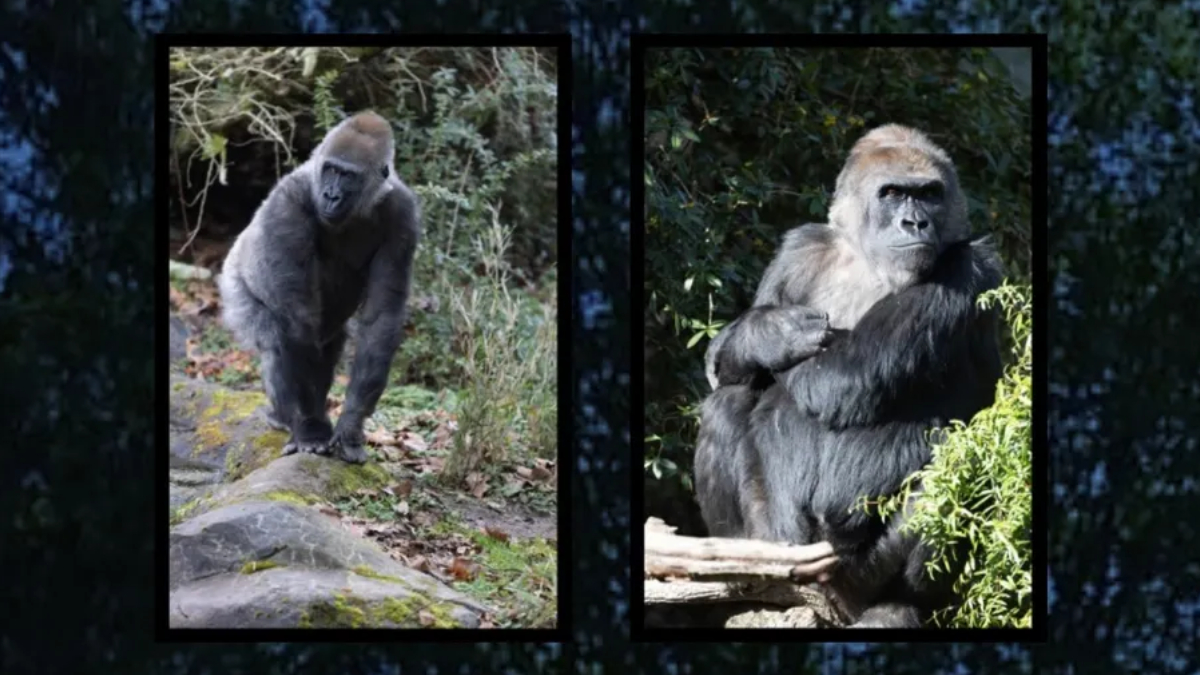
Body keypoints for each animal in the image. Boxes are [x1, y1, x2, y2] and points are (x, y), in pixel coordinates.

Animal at [218, 111, 420, 464]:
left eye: (348, 176)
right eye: (331, 170)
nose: (331, 195)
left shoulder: (403, 214)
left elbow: (381, 317)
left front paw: (350, 423)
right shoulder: (287, 205)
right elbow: (296, 322)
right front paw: (310, 428)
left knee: (328, 345)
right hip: (233, 284)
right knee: (275, 338)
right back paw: (286, 417)